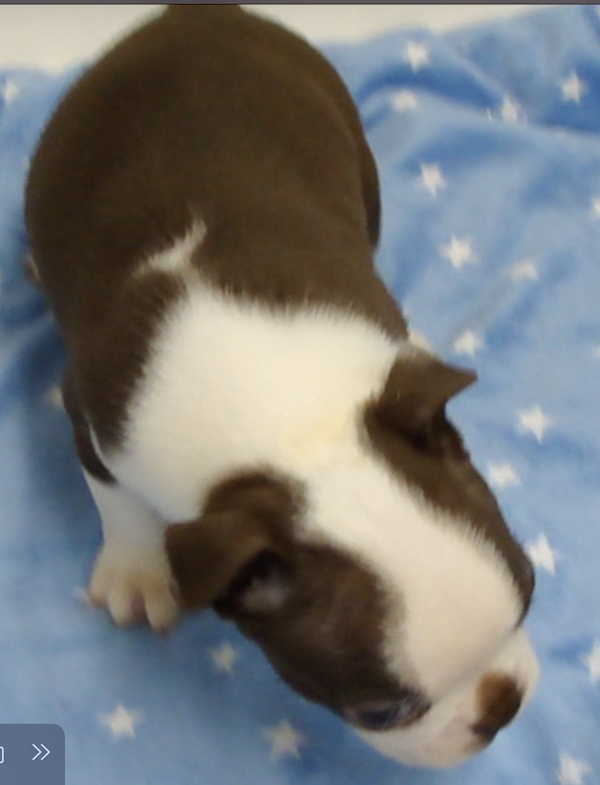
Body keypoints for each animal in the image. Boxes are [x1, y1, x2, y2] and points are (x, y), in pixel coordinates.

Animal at [24, 5, 538, 768]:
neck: (291, 432)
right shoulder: (94, 414)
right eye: (381, 710)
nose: (501, 707)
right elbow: (117, 500)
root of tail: (194, 16)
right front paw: (137, 572)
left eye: (530, 591)